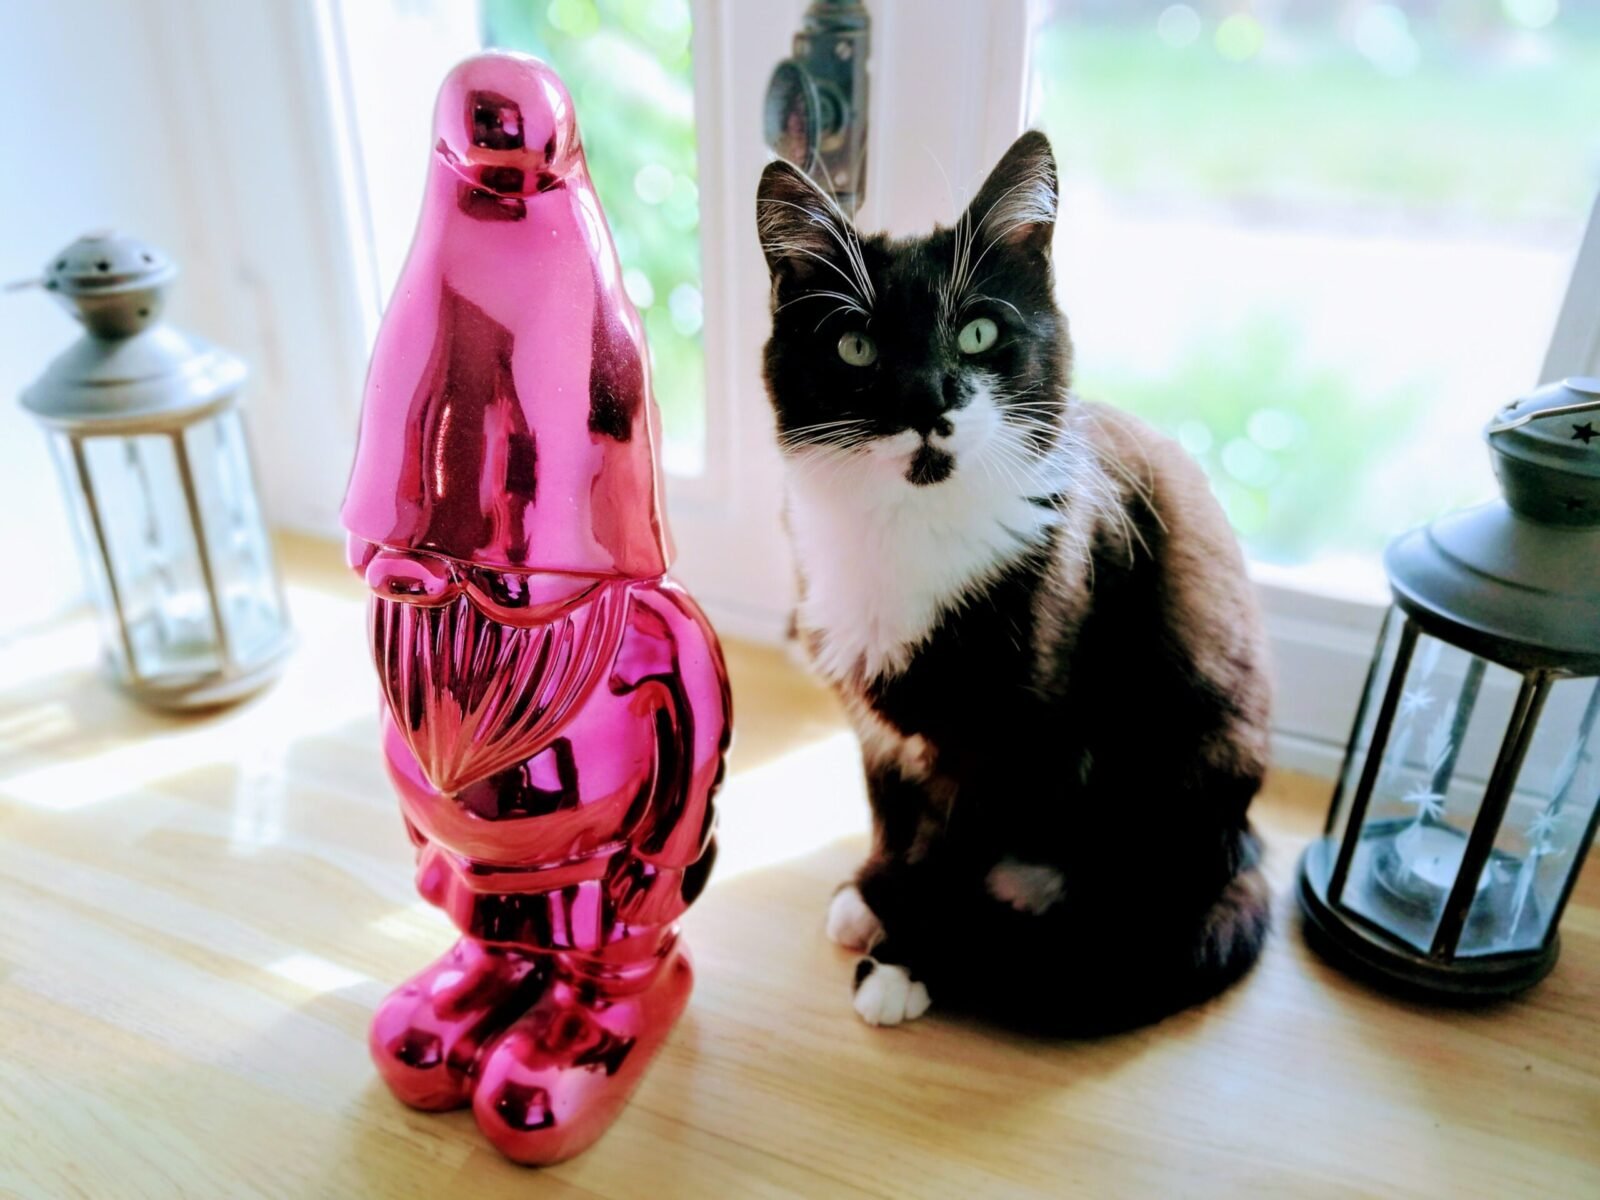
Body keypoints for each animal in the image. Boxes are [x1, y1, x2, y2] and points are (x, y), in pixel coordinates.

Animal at [755, 131, 1273, 1033]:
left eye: (977, 333)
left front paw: (906, 956)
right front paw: (876, 891)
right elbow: (889, 807)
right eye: (855, 347)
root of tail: (1246, 854)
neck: (909, 523)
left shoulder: (1012, 724)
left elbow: (954, 848)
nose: (928, 402)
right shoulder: (871, 713)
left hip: (1188, 757)